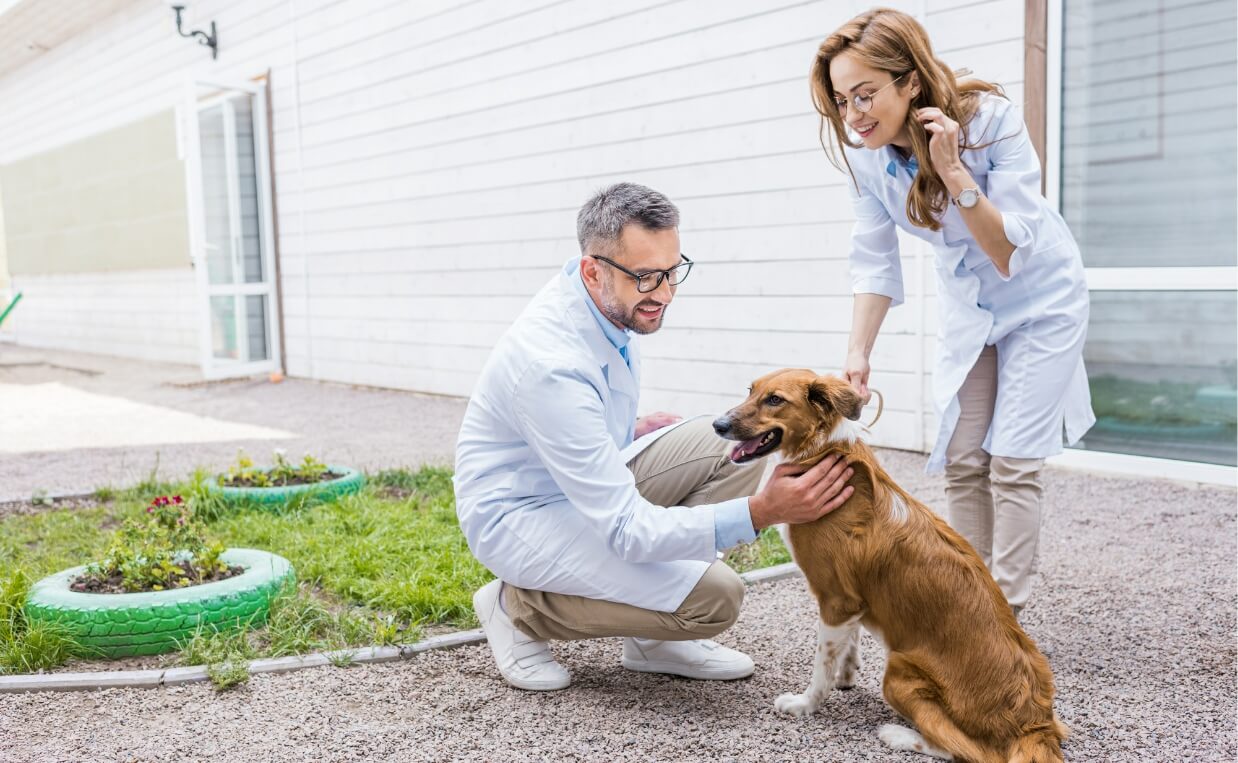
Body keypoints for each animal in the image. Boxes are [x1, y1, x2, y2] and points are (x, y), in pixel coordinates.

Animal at [713, 369, 1069, 763]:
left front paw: (805, 704)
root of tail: (1034, 724)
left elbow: (821, 664)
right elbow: (849, 639)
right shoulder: (850, 600)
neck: (823, 451)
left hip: (899, 671)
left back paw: (896, 734)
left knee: (968, 750)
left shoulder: (834, 599)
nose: (717, 424)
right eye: (751, 391)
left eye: (775, 400)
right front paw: (847, 673)